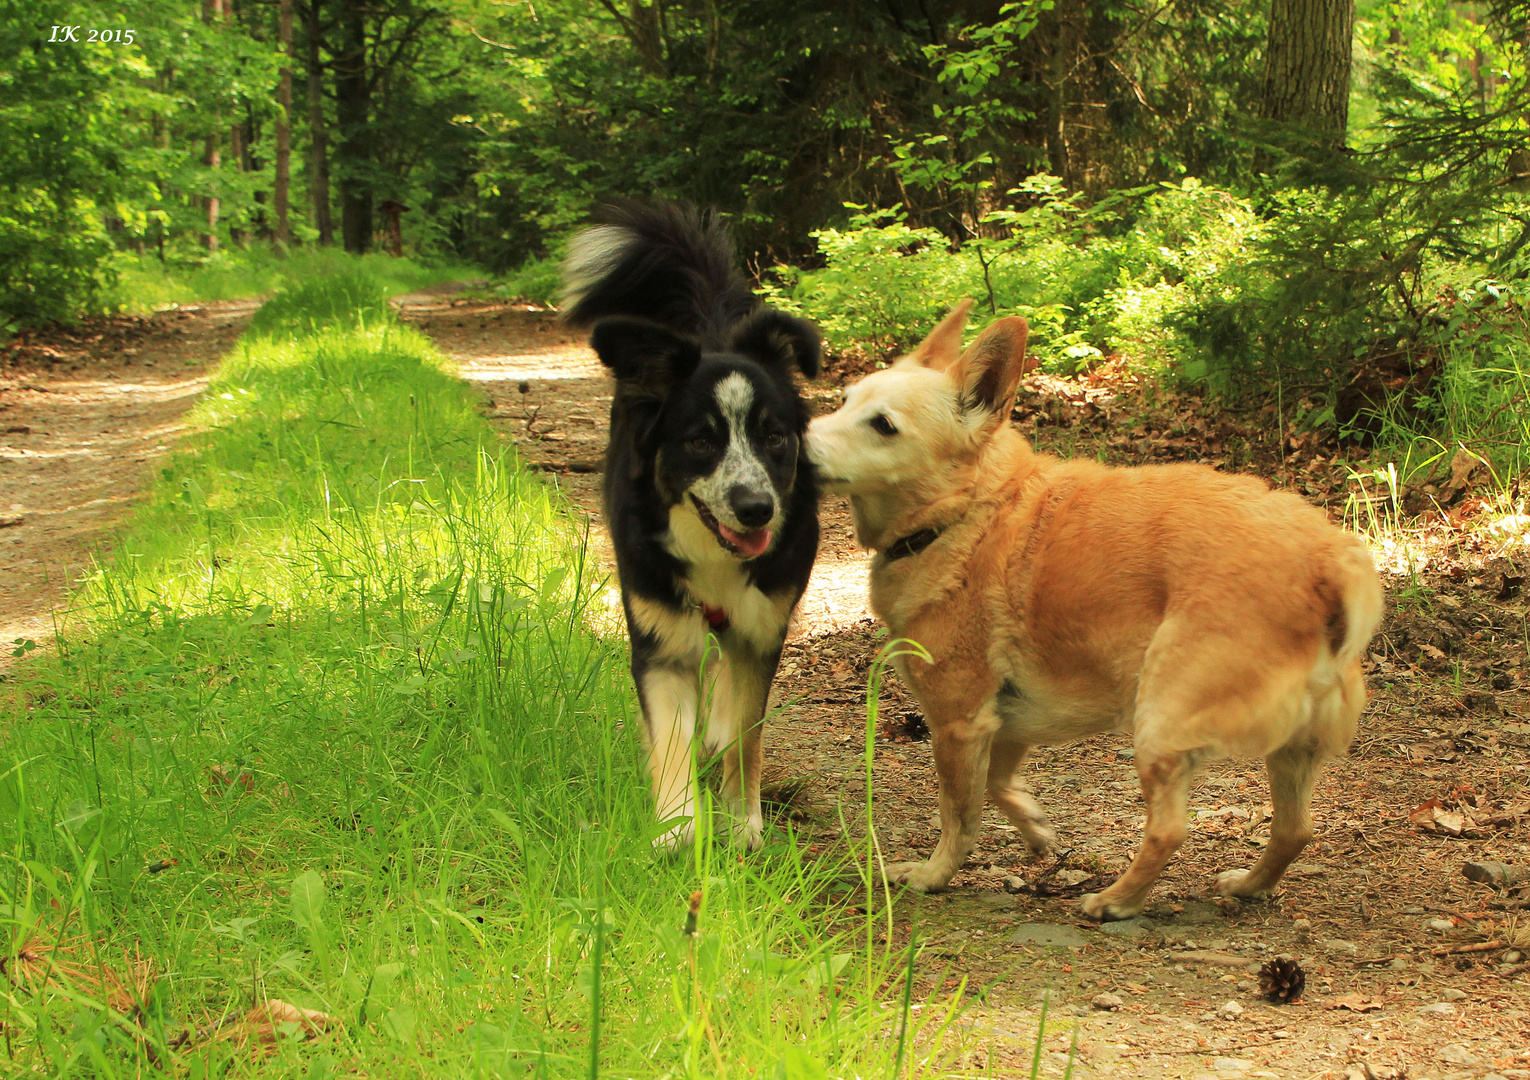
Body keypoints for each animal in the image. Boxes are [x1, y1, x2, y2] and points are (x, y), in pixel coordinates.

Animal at [566, 200, 826, 844]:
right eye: (701, 441)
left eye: (774, 437)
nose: (757, 509)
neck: (712, 554)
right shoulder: (659, 634)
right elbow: (670, 738)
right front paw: (676, 827)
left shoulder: (762, 627)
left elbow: (747, 735)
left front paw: (742, 821)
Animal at [813, 301, 1389, 917]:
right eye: (844, 400)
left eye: (883, 425)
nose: (789, 439)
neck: (967, 511)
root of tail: (1326, 560)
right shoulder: (1006, 721)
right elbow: (998, 786)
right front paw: (1037, 832)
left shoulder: (959, 723)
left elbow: (959, 816)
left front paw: (932, 875)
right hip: (1292, 750)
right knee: (1295, 830)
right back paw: (1246, 886)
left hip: (1159, 725)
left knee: (1169, 830)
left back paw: (1116, 900)